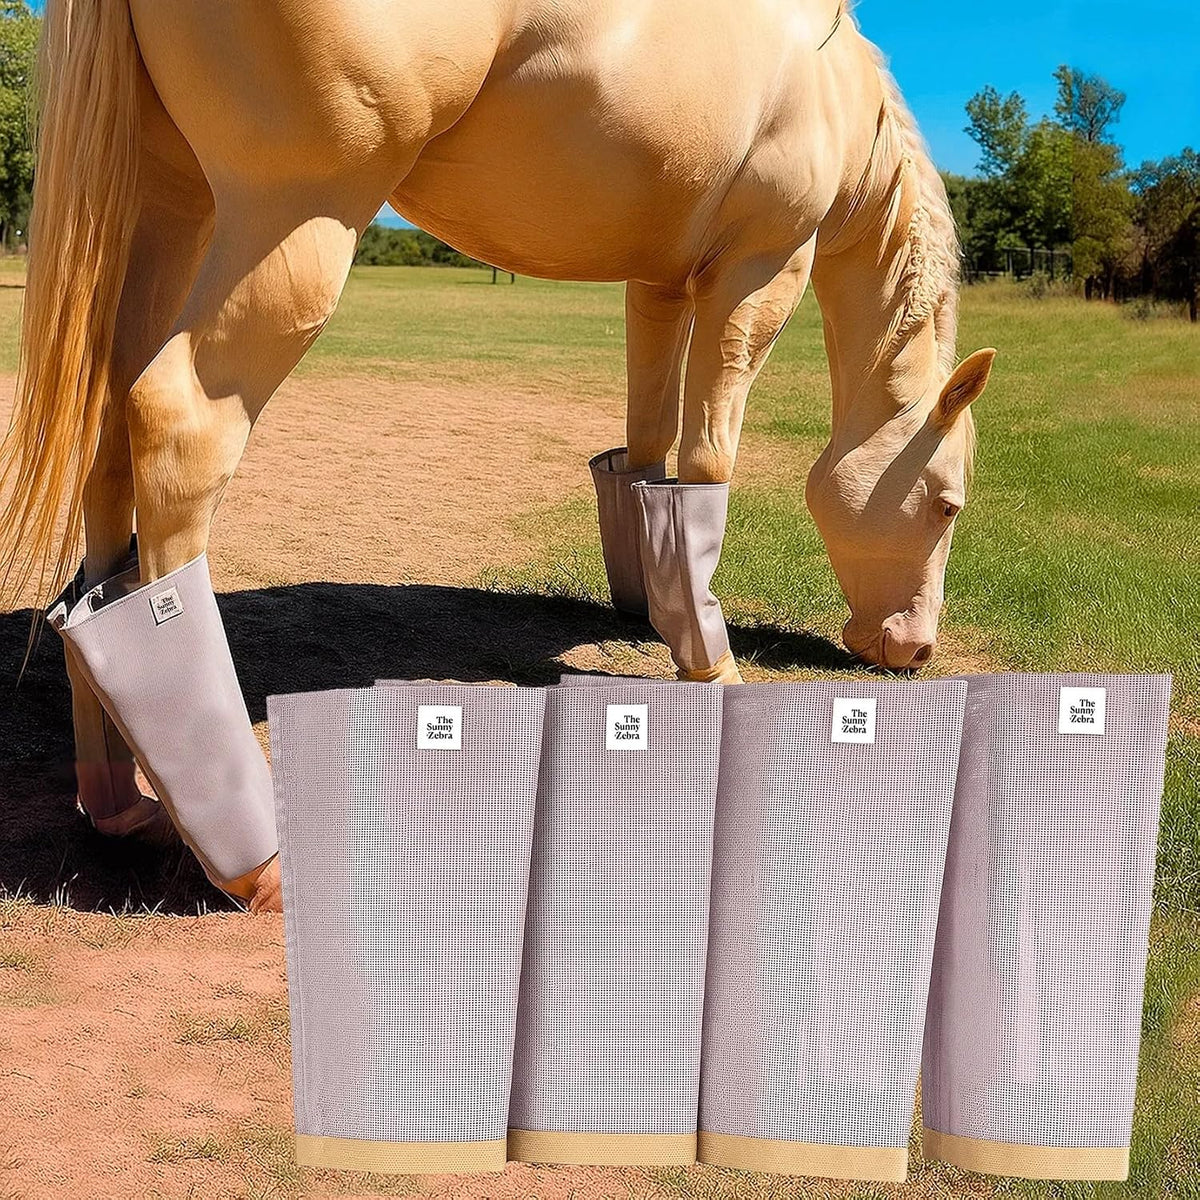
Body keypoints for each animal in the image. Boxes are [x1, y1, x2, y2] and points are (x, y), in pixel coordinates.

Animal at [0, 0, 994, 911]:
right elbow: (709, 462)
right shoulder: (759, 274)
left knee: (109, 439)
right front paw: (711, 665)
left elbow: (648, 457)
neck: (832, 88)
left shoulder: (660, 285)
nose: (912, 648)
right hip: (291, 227)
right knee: (178, 430)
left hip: (171, 206)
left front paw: (660, 613)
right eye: (948, 505)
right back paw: (251, 859)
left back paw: (120, 799)